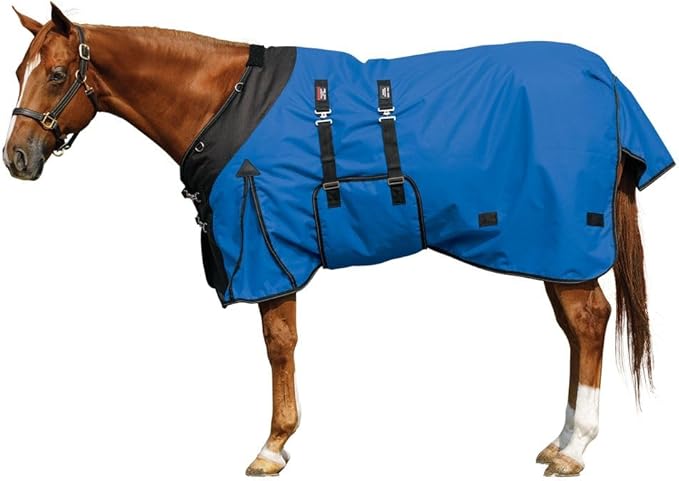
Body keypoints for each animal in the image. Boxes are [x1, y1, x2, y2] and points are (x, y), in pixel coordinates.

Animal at [3, 4, 673, 477]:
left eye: (57, 75)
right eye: (18, 72)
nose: (17, 158)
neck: (226, 101)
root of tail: (603, 75)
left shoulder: (269, 245)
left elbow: (279, 345)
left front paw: (273, 446)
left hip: (560, 243)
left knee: (588, 322)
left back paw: (575, 448)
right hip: (551, 252)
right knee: (576, 329)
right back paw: (560, 440)